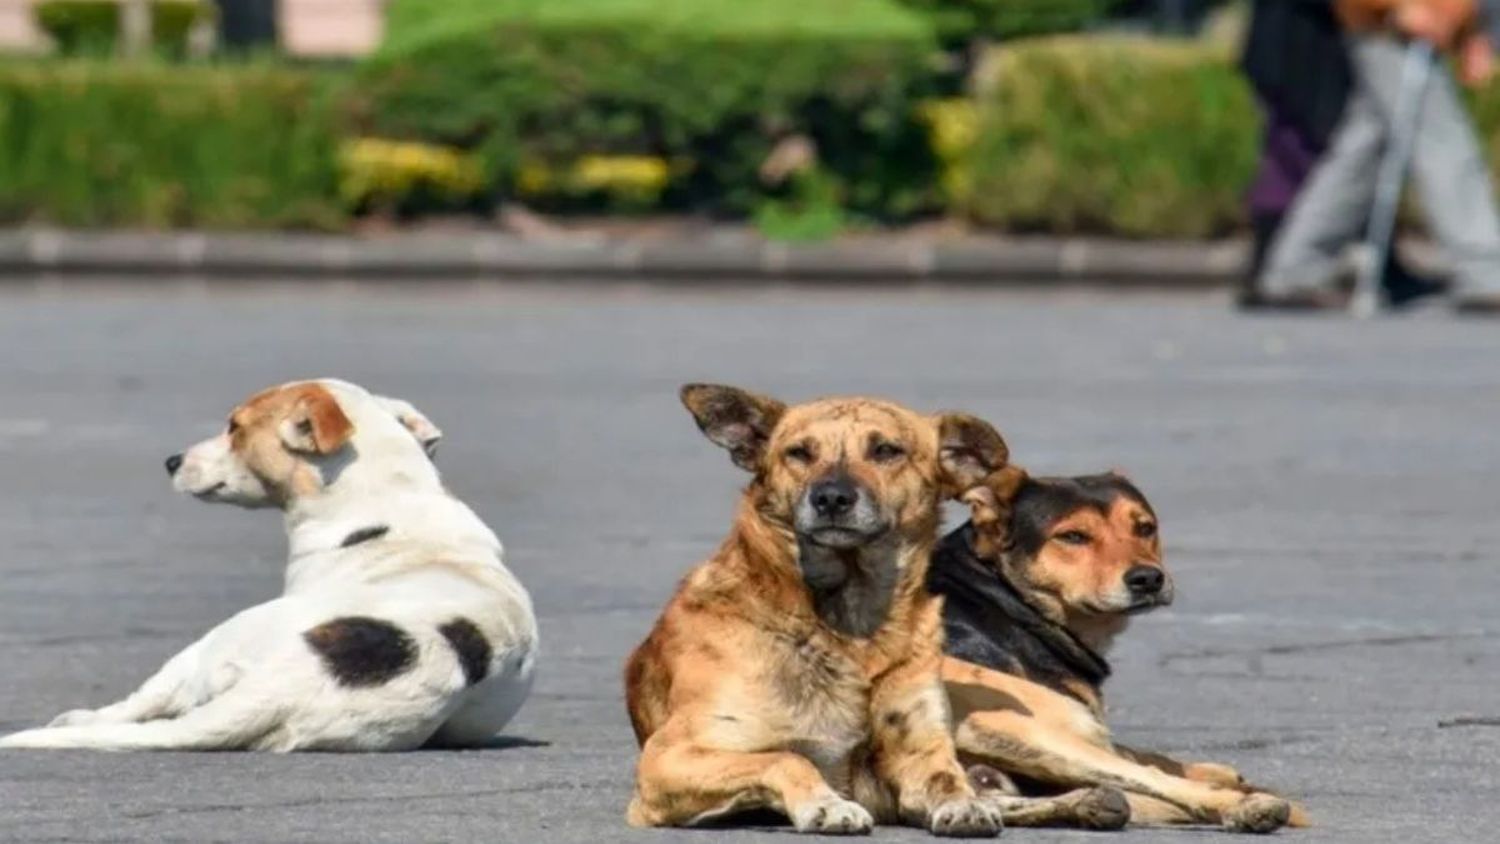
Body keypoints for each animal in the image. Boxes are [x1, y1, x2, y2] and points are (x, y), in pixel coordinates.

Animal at [0, 377, 540, 752]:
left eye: (235, 427)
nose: (171, 461)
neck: (390, 493)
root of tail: (289, 684)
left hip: (210, 644)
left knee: (140, 703)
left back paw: (78, 719)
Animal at [615, 386, 1014, 833]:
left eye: (886, 450)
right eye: (799, 453)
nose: (831, 498)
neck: (850, 628)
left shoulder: (918, 747)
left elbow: (947, 776)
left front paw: (966, 803)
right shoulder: (669, 756)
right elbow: (786, 757)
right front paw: (826, 804)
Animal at [930, 473, 1308, 833]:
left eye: (1145, 528)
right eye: (1072, 537)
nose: (1148, 579)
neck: (998, 594)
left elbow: (1145, 755)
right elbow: (1148, 765)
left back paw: (1091, 804)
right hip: (1016, 732)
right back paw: (1247, 806)